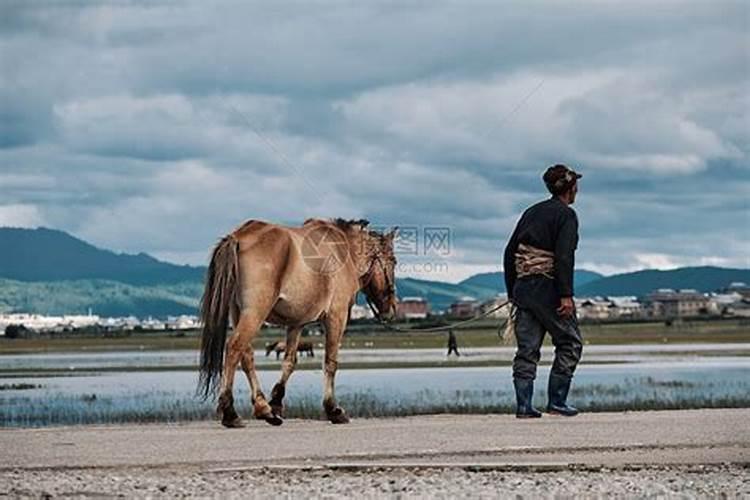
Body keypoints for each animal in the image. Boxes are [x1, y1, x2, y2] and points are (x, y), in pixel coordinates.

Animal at [200, 217, 400, 428]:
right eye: (393, 261)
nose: (391, 308)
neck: (344, 251)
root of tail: (238, 237)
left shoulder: (296, 324)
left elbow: (290, 362)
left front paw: (276, 402)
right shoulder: (336, 317)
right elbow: (330, 362)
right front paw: (333, 409)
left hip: (238, 313)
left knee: (246, 355)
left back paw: (264, 408)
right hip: (254, 313)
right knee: (234, 348)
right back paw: (230, 412)